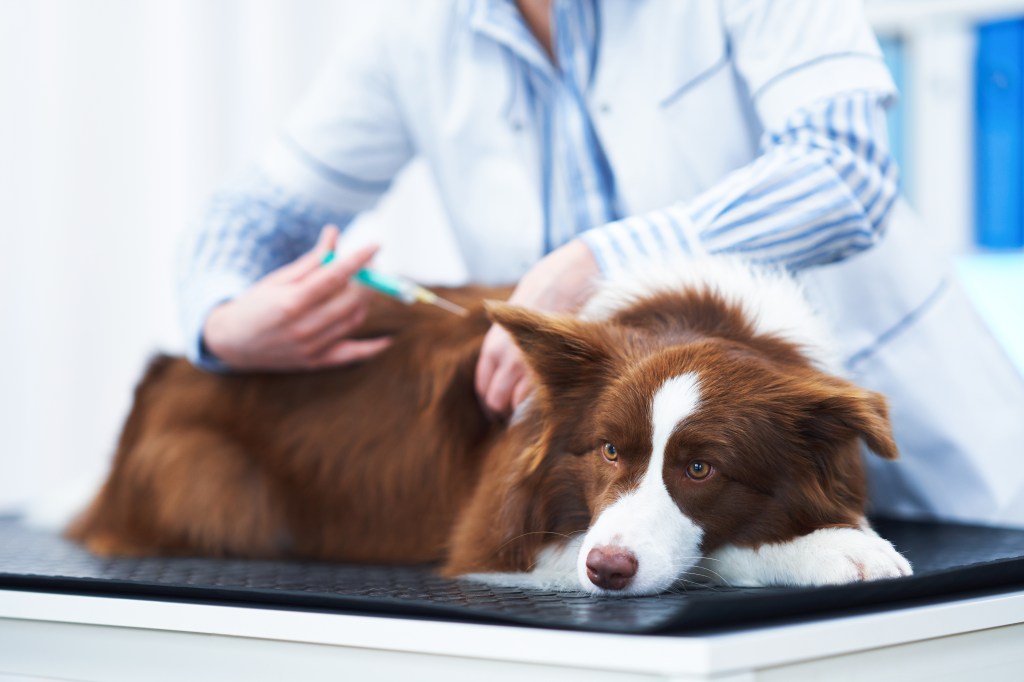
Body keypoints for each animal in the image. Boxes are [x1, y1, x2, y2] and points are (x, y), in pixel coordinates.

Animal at [70, 258, 913, 593]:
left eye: (701, 469)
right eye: (610, 451)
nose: (608, 572)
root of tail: (168, 368)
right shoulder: (497, 536)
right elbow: (715, 554)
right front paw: (835, 550)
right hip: (216, 486)